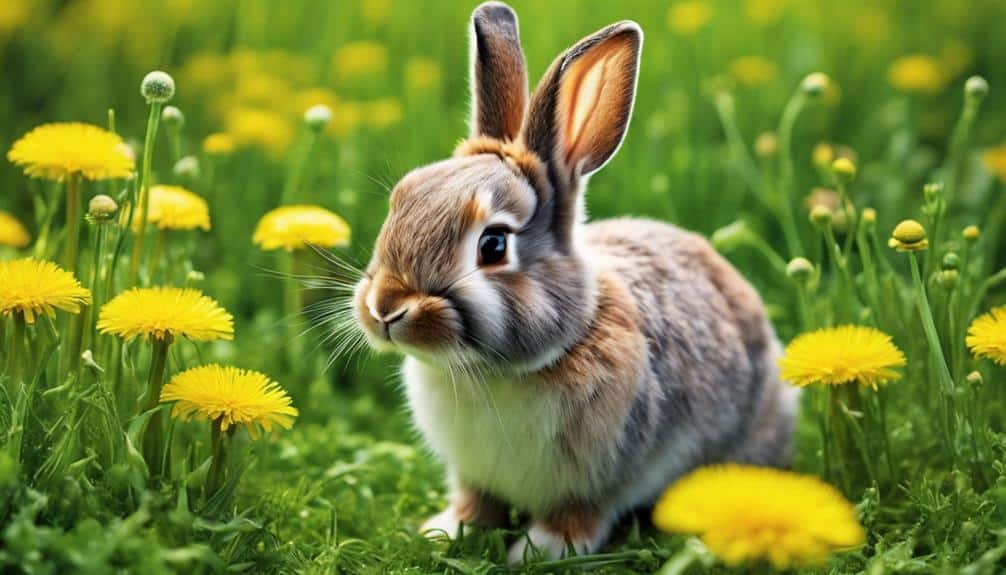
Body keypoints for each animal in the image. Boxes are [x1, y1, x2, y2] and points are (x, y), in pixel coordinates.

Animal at [352, 1, 799, 563]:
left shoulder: (606, 474)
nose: (385, 307)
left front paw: (542, 549)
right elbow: (476, 500)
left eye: (493, 245)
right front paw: (446, 529)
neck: (497, 373)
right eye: (402, 199)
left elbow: (580, 511)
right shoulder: (473, 472)